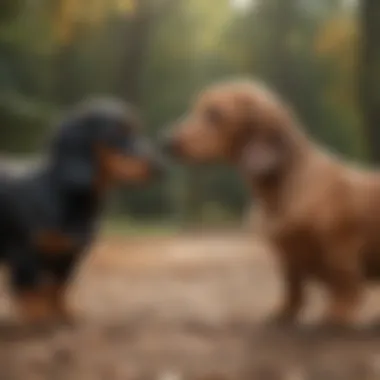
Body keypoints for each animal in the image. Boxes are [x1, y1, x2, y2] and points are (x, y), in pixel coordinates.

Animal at [0, 97, 164, 324]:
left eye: (136, 130)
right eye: (116, 133)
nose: (160, 168)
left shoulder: (70, 253)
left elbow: (59, 286)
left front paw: (63, 313)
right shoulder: (24, 251)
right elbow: (31, 287)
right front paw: (37, 316)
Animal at [163, 78, 380, 328]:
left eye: (215, 114)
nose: (165, 141)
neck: (278, 192)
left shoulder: (340, 247)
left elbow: (345, 283)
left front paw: (338, 314)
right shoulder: (287, 257)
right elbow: (292, 289)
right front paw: (283, 313)